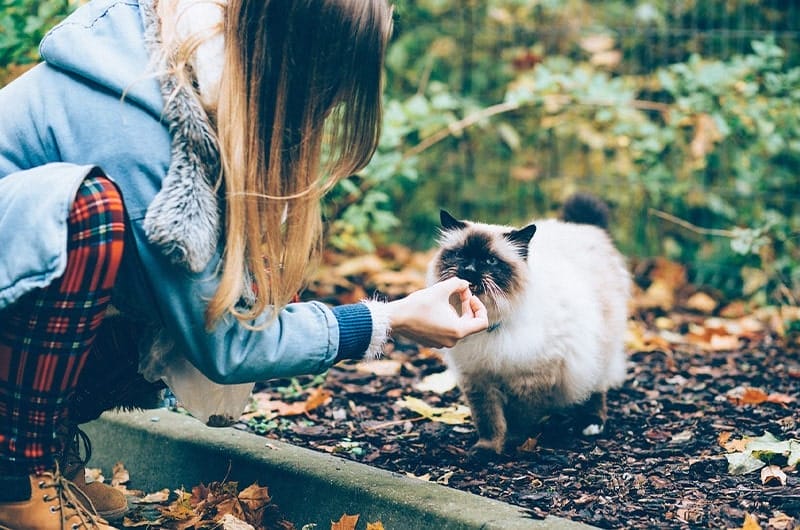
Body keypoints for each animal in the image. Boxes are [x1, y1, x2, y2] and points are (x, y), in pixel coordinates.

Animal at [424, 192, 632, 456]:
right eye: (461, 255)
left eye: (490, 261)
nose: (469, 270)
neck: (492, 323)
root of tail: (583, 227)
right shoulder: (478, 379)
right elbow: (489, 421)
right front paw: (487, 451)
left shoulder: (530, 379)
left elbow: (518, 419)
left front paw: (512, 444)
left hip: (597, 351)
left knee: (596, 389)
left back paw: (591, 424)